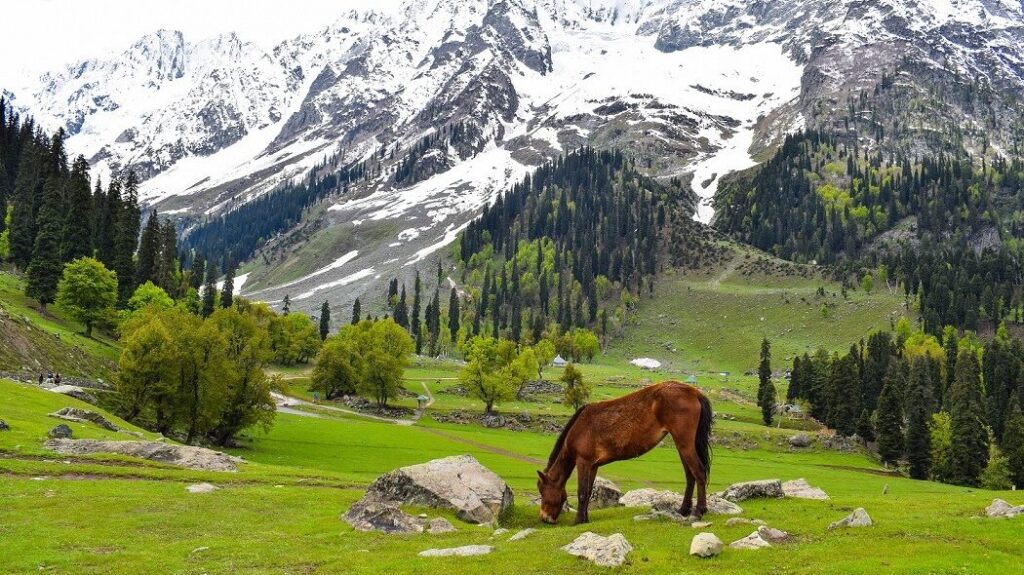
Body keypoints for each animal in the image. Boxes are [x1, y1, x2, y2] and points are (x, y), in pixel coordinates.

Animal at [536, 380, 712, 523]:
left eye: (542, 491)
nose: (544, 518)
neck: (580, 428)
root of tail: (694, 392)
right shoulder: (593, 466)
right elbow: (588, 491)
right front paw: (585, 519)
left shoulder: (583, 462)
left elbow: (582, 491)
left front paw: (578, 520)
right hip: (682, 445)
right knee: (690, 475)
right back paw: (683, 510)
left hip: (684, 443)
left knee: (699, 472)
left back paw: (698, 511)